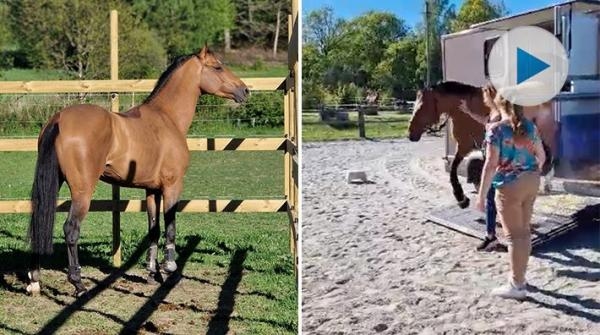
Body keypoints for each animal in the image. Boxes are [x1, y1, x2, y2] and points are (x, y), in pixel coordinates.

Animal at [26, 45, 248, 296]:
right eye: (217, 67)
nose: (245, 90)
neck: (166, 118)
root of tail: (59, 119)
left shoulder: (151, 190)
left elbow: (154, 229)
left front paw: (154, 274)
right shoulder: (172, 186)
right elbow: (170, 226)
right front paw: (170, 269)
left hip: (55, 182)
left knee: (38, 223)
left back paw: (34, 280)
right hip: (82, 191)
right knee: (71, 229)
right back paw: (78, 283)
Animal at [410, 81, 556, 209]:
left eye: (422, 106)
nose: (411, 133)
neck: (462, 111)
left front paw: (462, 198)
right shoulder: (464, 147)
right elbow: (454, 169)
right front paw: (463, 199)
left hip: (544, 134)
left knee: (549, 157)